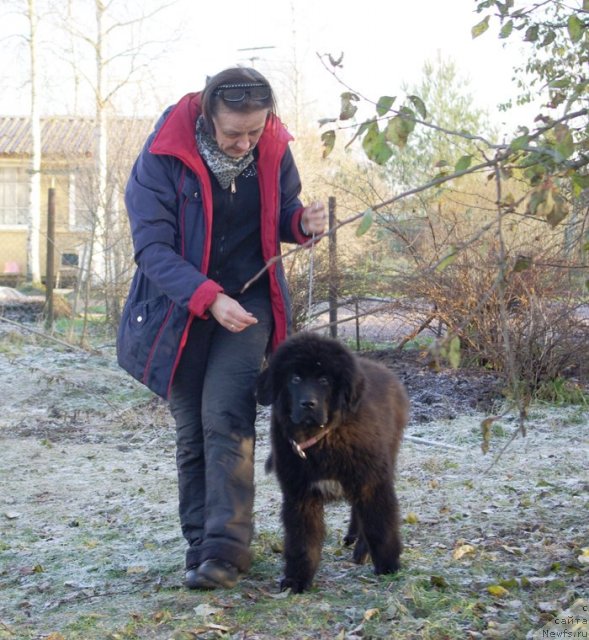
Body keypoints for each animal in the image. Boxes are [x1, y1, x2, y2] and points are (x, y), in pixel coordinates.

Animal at [258, 332, 408, 592]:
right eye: (295, 378)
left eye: (324, 380)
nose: (308, 404)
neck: (321, 439)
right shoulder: (300, 493)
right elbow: (302, 539)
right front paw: (297, 579)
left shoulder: (372, 482)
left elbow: (380, 525)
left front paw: (388, 567)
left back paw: (361, 549)